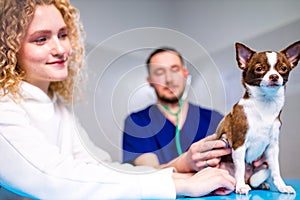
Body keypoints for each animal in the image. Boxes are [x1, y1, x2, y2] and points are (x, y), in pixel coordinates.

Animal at [216, 39, 300, 195]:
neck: (265, 103)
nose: (274, 76)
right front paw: (241, 186)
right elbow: (240, 168)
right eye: (259, 69)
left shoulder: (272, 148)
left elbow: (276, 170)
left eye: (283, 68)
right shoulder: (239, 144)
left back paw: (262, 184)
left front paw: (282, 186)